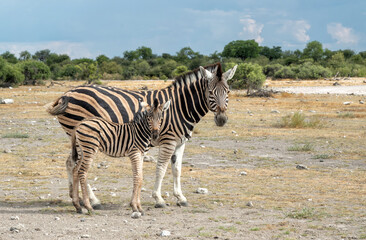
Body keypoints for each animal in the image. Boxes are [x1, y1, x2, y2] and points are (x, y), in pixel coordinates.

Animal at [48, 63, 237, 208]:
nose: (221, 119)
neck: (181, 107)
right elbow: (161, 169)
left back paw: (76, 198)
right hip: (84, 138)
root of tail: (66, 94)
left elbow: (177, 170)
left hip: (78, 139)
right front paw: (159, 199)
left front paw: (181, 198)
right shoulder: (168, 140)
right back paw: (93, 201)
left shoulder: (180, 142)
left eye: (228, 91)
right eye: (211, 92)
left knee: (70, 163)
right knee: (78, 166)